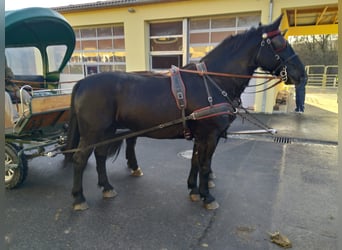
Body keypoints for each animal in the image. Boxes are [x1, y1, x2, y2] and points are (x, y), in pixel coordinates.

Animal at [65, 16, 306, 211]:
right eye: (279, 44)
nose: (301, 74)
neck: (213, 80)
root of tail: (82, 83)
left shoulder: (200, 135)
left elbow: (195, 161)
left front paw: (194, 190)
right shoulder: (210, 135)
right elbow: (205, 164)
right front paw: (207, 197)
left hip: (107, 131)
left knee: (100, 155)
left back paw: (106, 187)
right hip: (93, 132)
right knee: (79, 159)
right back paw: (78, 198)